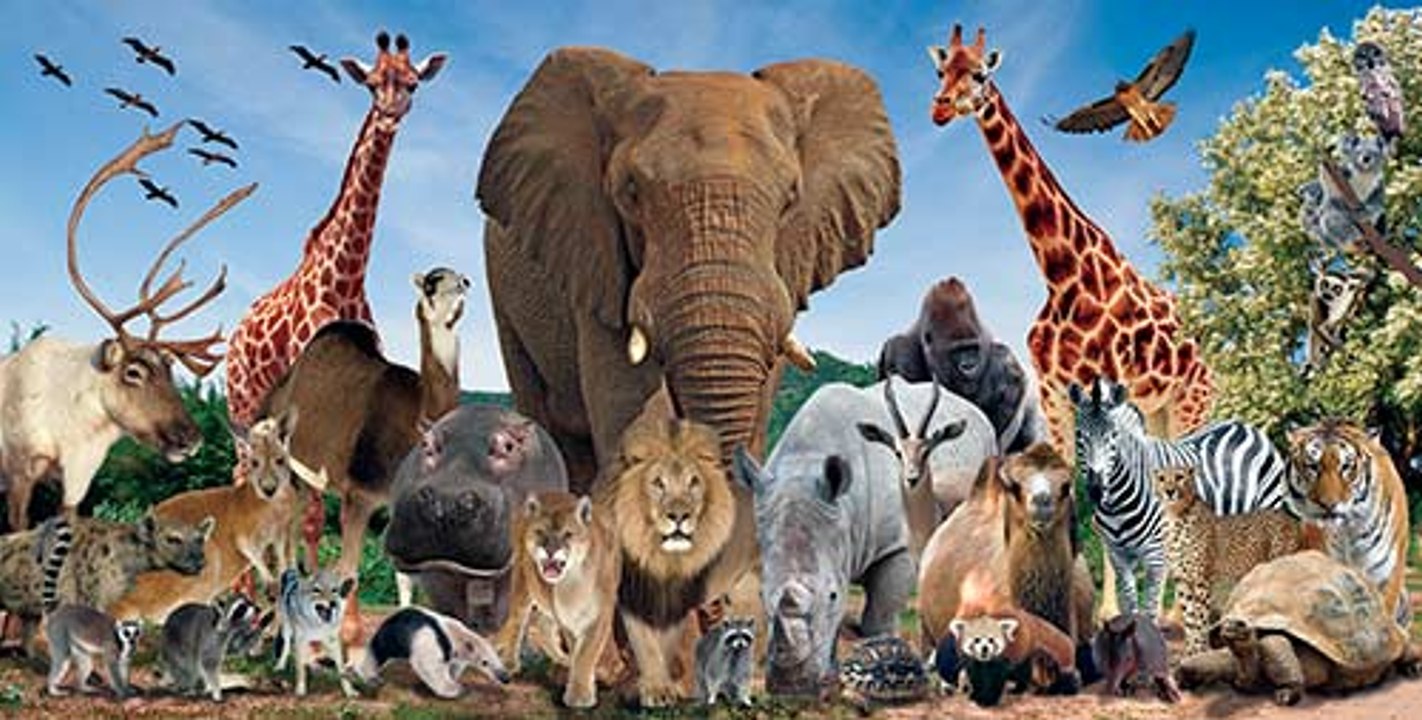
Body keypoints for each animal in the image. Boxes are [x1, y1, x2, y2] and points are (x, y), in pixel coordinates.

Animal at [494, 491, 621, 708]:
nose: (550, 551)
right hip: (522, 581)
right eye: (540, 532)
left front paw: (580, 693)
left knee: (541, 623)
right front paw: (580, 693)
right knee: (518, 620)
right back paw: (511, 663)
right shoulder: (567, 618)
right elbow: (579, 650)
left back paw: (562, 658)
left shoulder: (600, 615)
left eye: (568, 534)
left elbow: (587, 652)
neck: (573, 582)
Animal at [594, 415, 750, 708]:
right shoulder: (633, 590)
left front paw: (667, 687)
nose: (679, 516)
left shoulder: (681, 594)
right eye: (658, 483)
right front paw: (654, 690)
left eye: (694, 482)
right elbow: (644, 640)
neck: (665, 559)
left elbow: (667, 640)